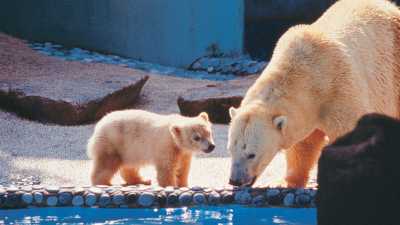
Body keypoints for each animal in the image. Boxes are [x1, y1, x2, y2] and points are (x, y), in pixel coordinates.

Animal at [227, 0, 400, 187]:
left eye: (251, 154)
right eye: (230, 149)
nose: (235, 180)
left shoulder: (340, 90)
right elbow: (303, 144)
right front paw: (288, 182)